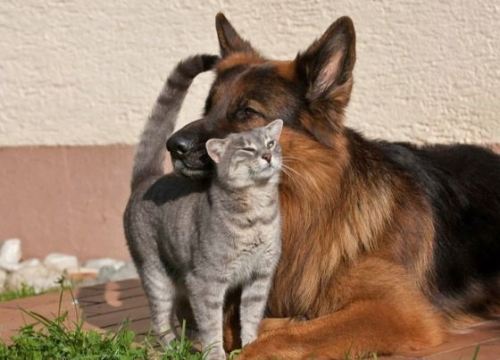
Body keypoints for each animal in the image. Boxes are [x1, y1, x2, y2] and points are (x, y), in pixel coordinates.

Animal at [123, 54, 284, 358]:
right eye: (247, 148)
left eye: (271, 143)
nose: (268, 155)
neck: (257, 216)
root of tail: (147, 178)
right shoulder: (207, 281)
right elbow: (212, 324)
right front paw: (216, 353)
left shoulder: (259, 277)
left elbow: (250, 317)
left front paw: (251, 346)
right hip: (156, 274)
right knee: (161, 319)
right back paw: (174, 348)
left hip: (180, 276)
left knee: (182, 313)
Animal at [163, 13, 496, 358]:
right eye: (208, 107)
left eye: (247, 113)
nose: (173, 146)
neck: (304, 209)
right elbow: (228, 325)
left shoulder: (398, 310)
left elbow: (287, 337)